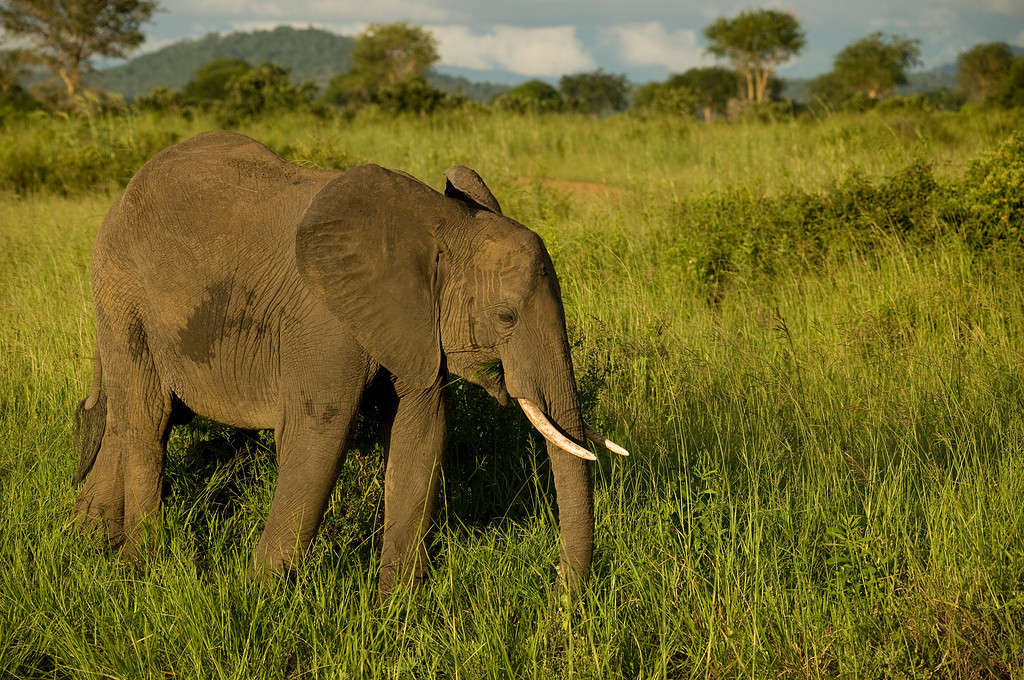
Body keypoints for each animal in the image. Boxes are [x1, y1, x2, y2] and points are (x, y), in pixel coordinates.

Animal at [72, 130, 622, 593]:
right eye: (506, 316)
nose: (560, 589)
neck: (436, 225)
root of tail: (124, 192)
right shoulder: (324, 319)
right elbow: (318, 435)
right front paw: (257, 601)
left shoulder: (413, 324)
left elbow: (422, 432)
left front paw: (396, 612)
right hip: (121, 289)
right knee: (149, 417)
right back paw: (142, 569)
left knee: (128, 417)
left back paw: (89, 541)